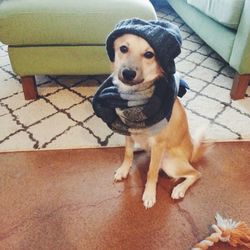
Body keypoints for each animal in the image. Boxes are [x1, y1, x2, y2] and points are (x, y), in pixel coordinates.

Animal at [111, 33, 207, 209]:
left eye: (149, 54)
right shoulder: (128, 132)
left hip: (170, 163)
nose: (128, 73)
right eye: (123, 48)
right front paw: (123, 170)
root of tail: (192, 152)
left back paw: (179, 189)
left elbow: (152, 172)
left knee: (196, 173)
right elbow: (127, 154)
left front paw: (149, 194)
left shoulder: (158, 145)